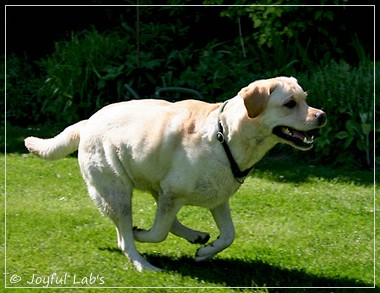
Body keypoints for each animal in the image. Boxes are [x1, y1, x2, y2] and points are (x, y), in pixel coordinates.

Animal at [23, 76, 326, 270]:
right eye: (290, 103)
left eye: (305, 99)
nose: (322, 115)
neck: (225, 137)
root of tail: (88, 121)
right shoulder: (173, 193)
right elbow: (157, 233)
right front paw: (143, 235)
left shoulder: (217, 198)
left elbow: (229, 235)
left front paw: (205, 253)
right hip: (117, 193)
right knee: (125, 239)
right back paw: (143, 264)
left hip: (152, 182)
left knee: (162, 222)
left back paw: (195, 237)